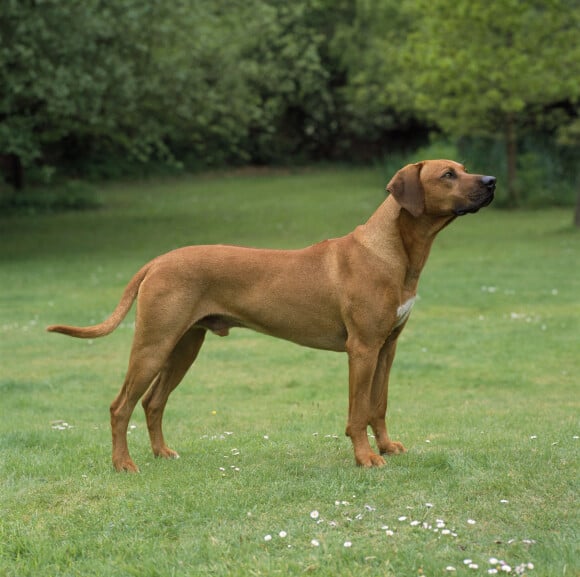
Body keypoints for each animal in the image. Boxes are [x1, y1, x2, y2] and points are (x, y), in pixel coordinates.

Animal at [47, 160, 496, 470]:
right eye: (448, 175)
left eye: (464, 168)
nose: (491, 181)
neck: (392, 251)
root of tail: (158, 260)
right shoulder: (363, 348)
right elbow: (358, 411)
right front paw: (366, 457)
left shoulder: (387, 347)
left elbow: (379, 404)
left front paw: (386, 446)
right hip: (153, 343)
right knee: (120, 406)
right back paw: (123, 464)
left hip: (184, 345)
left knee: (153, 402)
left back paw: (162, 453)